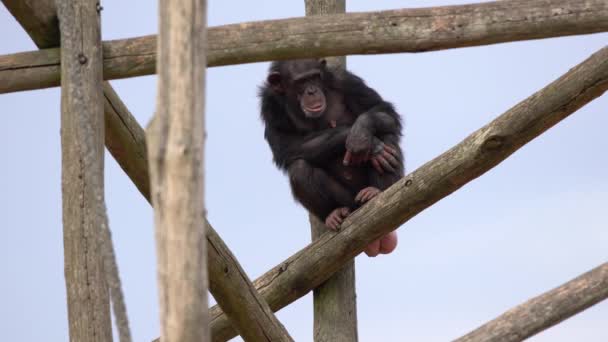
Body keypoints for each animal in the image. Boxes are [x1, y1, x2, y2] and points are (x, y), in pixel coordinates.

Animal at [258, 58, 404, 256]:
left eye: (314, 77)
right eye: (300, 82)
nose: (312, 91)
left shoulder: (346, 80)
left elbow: (382, 109)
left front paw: (361, 132)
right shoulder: (269, 105)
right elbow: (286, 146)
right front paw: (363, 140)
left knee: (386, 133)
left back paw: (376, 191)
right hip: (349, 202)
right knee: (299, 168)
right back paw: (333, 214)